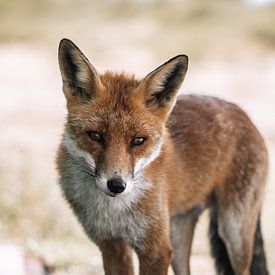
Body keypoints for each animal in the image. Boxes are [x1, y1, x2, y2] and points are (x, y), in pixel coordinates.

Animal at [56, 38, 270, 275]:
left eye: (139, 140)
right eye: (95, 136)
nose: (116, 185)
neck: (113, 212)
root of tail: (243, 113)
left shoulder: (156, 249)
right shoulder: (112, 245)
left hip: (233, 233)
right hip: (178, 236)